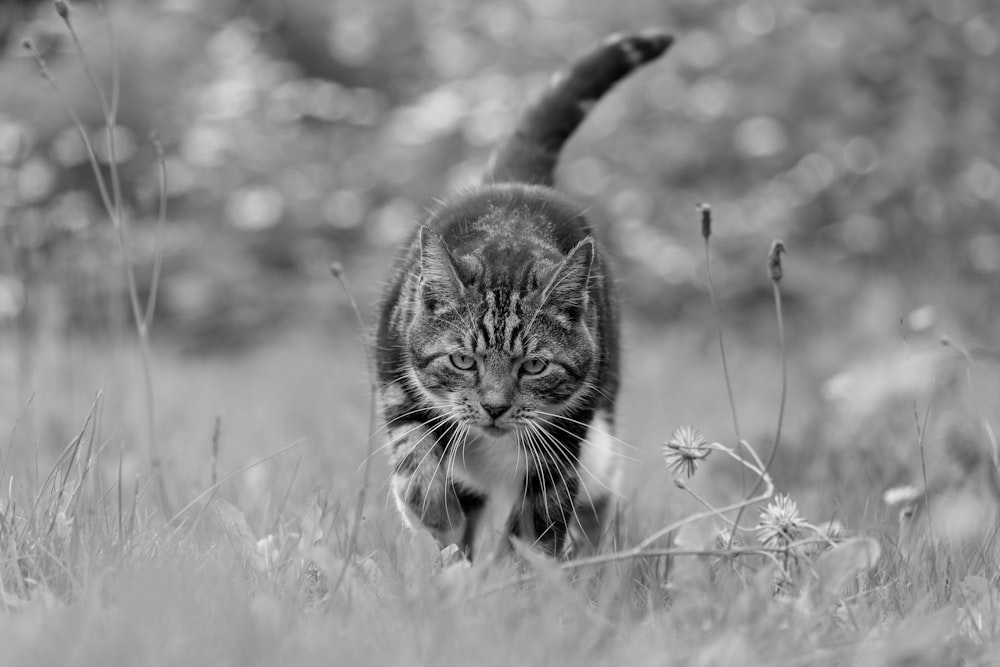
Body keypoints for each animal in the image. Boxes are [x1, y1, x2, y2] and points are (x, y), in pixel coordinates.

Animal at [378, 30, 676, 560]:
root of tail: (515, 182)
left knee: (594, 498)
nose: (495, 407)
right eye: (462, 361)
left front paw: (521, 574)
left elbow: (537, 526)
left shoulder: (563, 440)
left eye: (535, 366)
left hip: (598, 440)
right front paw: (437, 517)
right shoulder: (397, 383)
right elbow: (414, 459)